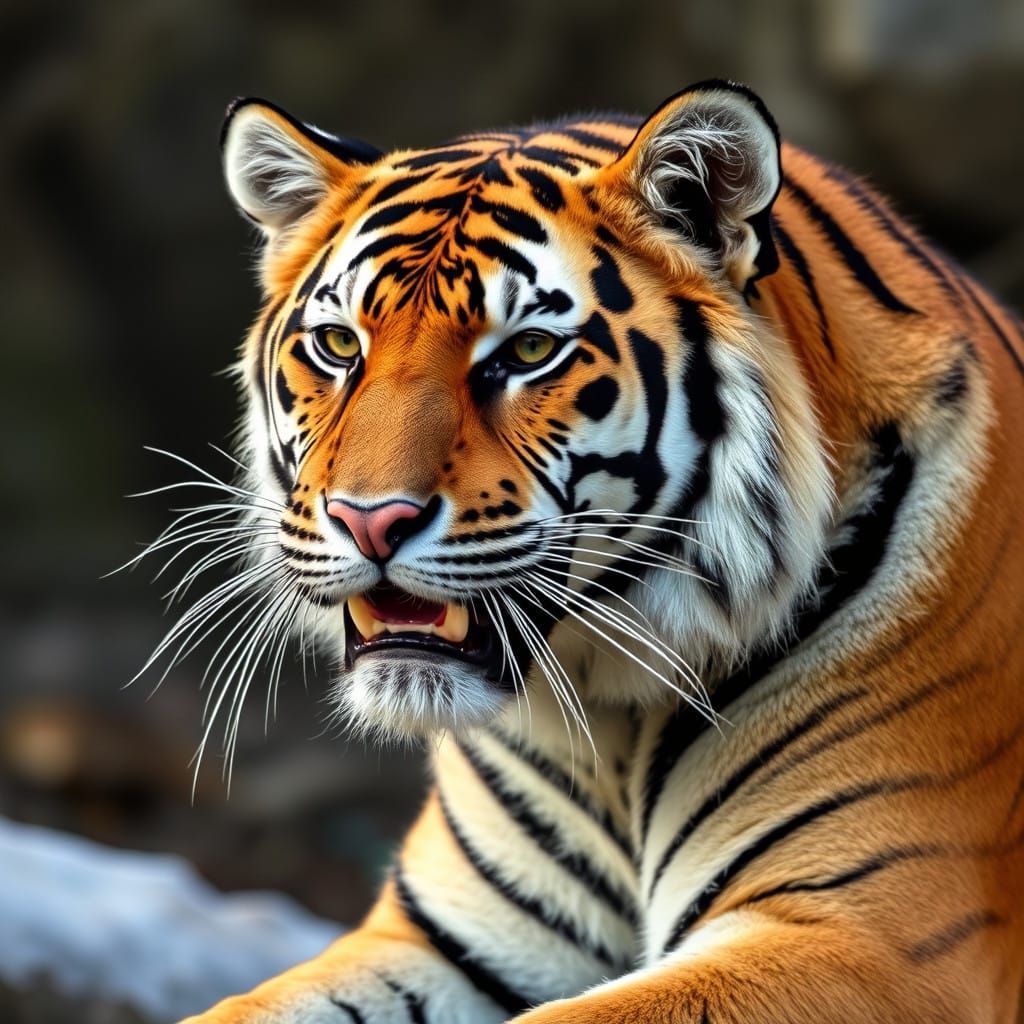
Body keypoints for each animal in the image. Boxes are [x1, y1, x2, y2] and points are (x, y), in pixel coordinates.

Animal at [164, 79, 1024, 1022]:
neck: (606, 711)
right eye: (340, 345)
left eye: (529, 351)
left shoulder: (866, 935)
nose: (370, 520)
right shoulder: (441, 938)